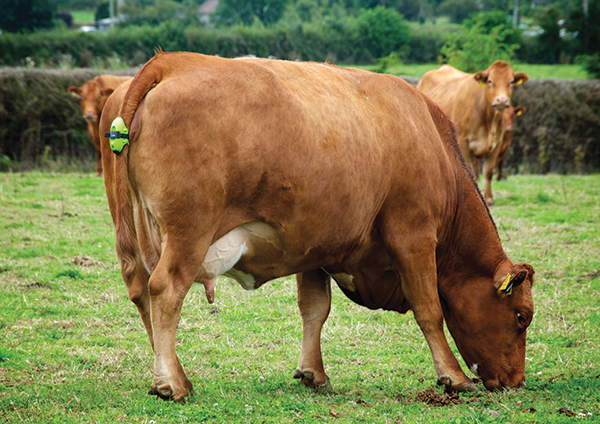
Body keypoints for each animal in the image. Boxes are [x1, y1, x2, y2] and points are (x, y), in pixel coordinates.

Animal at [101, 53, 536, 400]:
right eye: (521, 317)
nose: (516, 381)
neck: (430, 138)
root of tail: (173, 62)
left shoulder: (314, 246)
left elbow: (314, 309)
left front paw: (314, 372)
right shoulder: (413, 234)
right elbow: (429, 309)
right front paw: (454, 376)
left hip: (133, 235)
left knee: (141, 291)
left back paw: (172, 373)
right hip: (189, 232)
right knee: (165, 289)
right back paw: (171, 383)